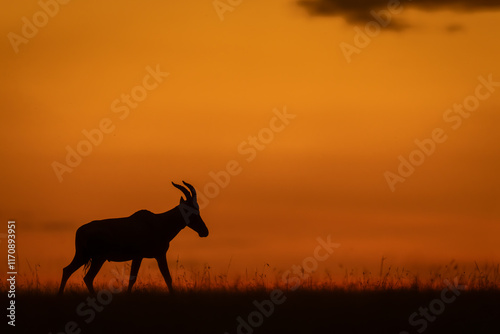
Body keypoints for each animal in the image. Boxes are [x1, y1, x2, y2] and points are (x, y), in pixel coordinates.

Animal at [57, 180, 208, 294]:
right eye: (191, 210)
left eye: (198, 209)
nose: (204, 232)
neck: (159, 222)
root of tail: (80, 231)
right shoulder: (148, 255)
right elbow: (162, 278)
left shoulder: (149, 256)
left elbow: (158, 278)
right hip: (98, 258)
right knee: (87, 278)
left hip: (83, 256)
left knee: (67, 270)